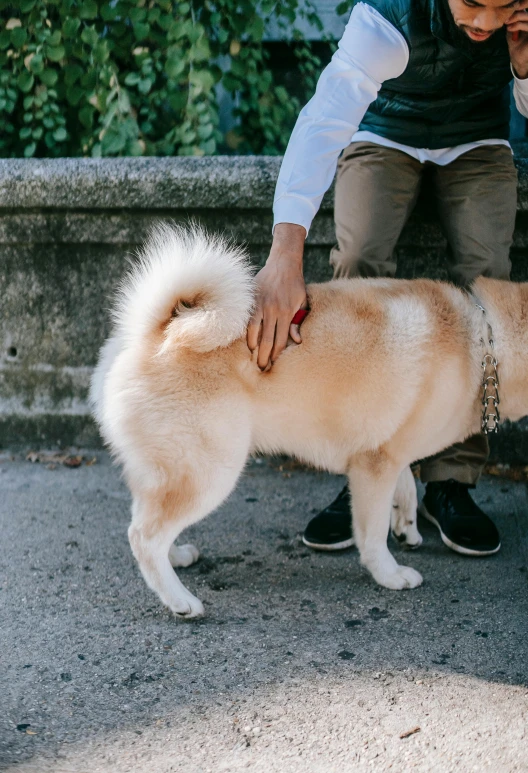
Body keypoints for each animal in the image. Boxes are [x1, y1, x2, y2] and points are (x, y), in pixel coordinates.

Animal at [91, 223, 528, 616]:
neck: (484, 341)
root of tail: (154, 334)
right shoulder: (374, 465)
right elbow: (372, 535)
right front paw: (389, 574)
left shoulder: (386, 451)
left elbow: (404, 485)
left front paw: (406, 523)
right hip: (210, 471)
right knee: (143, 536)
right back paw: (180, 600)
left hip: (169, 470)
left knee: (147, 520)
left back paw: (177, 555)